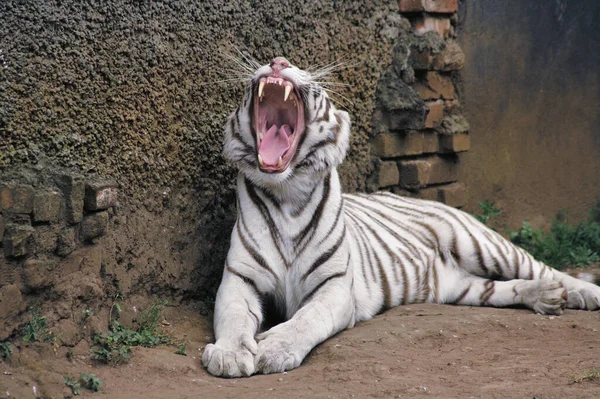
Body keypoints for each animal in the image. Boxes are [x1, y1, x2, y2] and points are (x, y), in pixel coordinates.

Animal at [203, 56, 600, 378]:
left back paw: (581, 294)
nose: (278, 62)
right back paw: (547, 298)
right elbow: (234, 316)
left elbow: (307, 319)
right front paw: (229, 355)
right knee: (500, 288)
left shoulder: (335, 288)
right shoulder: (240, 279)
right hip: (461, 288)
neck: (287, 194)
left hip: (481, 243)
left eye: (313, 83)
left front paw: (274, 348)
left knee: (544, 268)